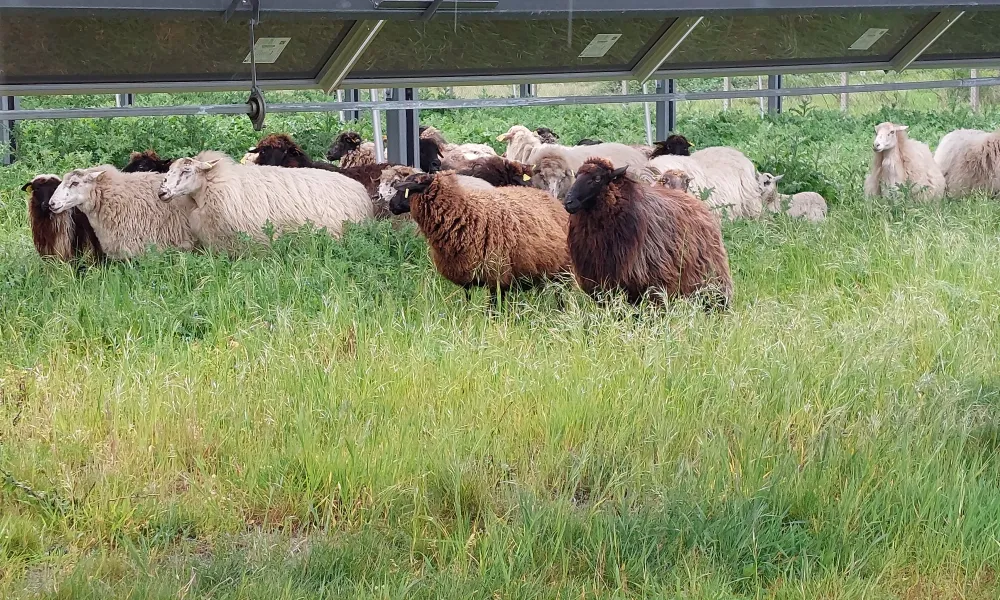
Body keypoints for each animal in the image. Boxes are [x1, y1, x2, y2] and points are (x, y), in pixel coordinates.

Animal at [389, 171, 570, 291]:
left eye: (406, 189)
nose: (391, 205)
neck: (465, 213)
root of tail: (552, 199)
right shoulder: (466, 277)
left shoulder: (497, 277)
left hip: (563, 271)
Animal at [563, 158, 733, 309]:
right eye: (576, 176)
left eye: (597, 178)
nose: (568, 202)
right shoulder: (602, 281)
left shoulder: (654, 279)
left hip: (710, 276)